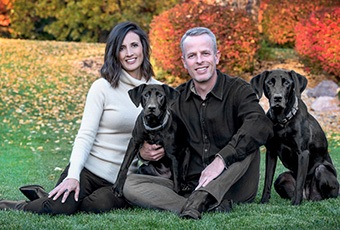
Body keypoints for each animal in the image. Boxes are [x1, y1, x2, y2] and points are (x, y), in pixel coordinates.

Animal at [251, 68, 338, 205]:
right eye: (269, 82)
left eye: (287, 83)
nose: (277, 98)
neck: (282, 121)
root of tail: (308, 196)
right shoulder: (271, 152)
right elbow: (267, 180)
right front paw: (263, 201)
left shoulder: (303, 153)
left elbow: (300, 182)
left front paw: (296, 203)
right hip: (281, 178)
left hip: (322, 170)